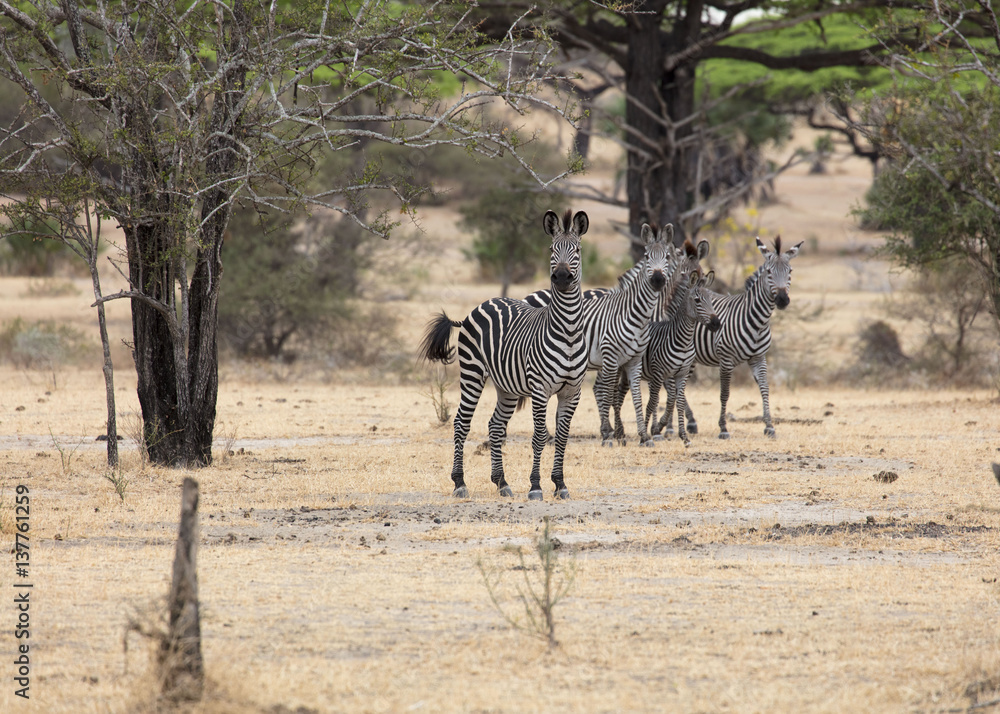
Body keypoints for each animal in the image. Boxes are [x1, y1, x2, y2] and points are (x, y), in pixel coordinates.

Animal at [419, 209, 589, 500]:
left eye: (577, 249)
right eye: (551, 249)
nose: (561, 277)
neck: (567, 330)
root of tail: (483, 304)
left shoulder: (572, 391)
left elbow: (563, 436)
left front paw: (560, 484)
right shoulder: (540, 389)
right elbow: (540, 436)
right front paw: (535, 487)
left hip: (506, 387)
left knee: (495, 425)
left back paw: (501, 482)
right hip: (472, 374)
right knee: (461, 423)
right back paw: (460, 482)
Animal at [522, 223, 675, 447]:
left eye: (667, 257)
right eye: (647, 256)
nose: (657, 280)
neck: (634, 313)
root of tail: (527, 297)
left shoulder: (634, 359)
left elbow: (636, 395)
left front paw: (643, 436)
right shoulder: (610, 357)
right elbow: (609, 394)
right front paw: (609, 435)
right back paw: (549, 436)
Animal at [683, 235, 803, 440]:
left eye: (790, 271)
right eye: (769, 272)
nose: (782, 300)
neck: (759, 322)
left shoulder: (758, 358)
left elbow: (765, 388)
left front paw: (769, 426)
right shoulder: (726, 359)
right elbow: (724, 393)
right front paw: (723, 428)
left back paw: (689, 422)